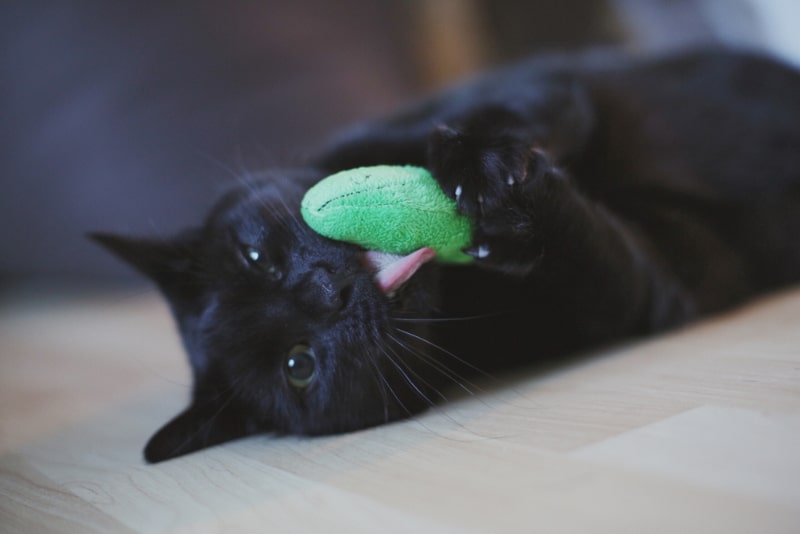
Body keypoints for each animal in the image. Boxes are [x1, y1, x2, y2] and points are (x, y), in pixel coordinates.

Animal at [92, 48, 800, 462]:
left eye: (257, 257)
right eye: (298, 366)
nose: (326, 290)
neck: (474, 296)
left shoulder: (535, 86)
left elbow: (520, 114)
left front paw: (478, 172)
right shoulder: (657, 281)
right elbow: (589, 248)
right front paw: (514, 215)